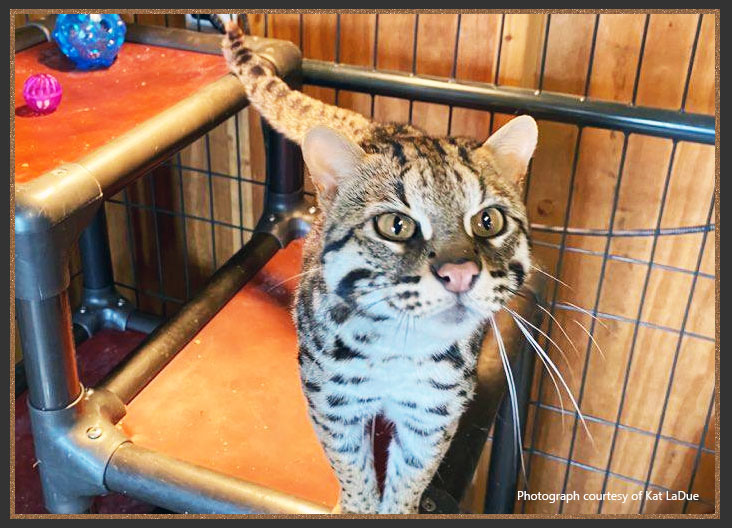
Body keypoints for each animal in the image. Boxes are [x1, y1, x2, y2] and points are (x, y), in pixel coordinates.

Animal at [223, 22, 536, 512]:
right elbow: (348, 462)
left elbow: (412, 474)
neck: (400, 347)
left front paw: (398, 506)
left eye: (489, 221)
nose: (460, 273)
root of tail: (376, 127)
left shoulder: (434, 410)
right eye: (396, 225)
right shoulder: (330, 397)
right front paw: (356, 504)